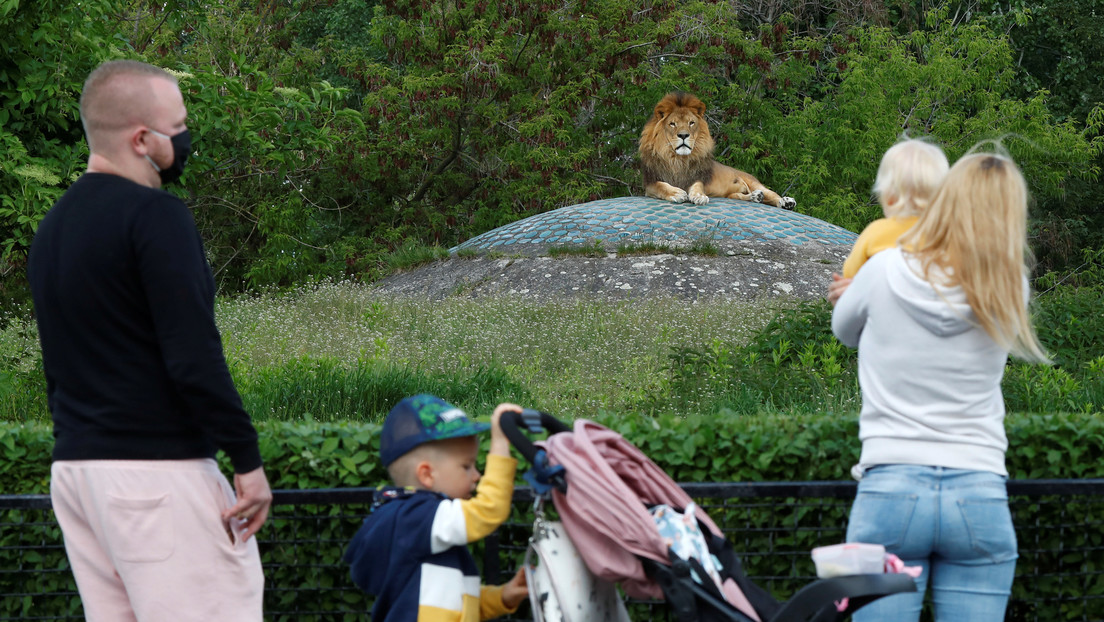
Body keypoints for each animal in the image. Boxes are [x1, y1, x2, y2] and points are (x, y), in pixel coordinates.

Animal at [635, 91, 799, 208]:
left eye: (691, 123)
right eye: (672, 124)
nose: (683, 135)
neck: (678, 159)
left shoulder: (697, 177)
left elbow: (697, 186)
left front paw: (699, 196)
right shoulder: (650, 183)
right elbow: (661, 186)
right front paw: (677, 193)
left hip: (754, 183)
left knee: (772, 195)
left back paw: (786, 201)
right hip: (732, 195)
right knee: (743, 197)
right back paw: (755, 197)